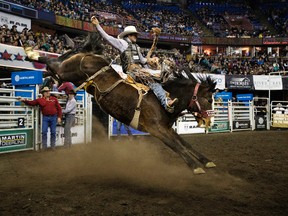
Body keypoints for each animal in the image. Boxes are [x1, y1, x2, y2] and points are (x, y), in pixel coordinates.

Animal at [25, 31, 216, 174]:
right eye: (208, 99)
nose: (209, 121)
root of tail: (90, 55)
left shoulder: (167, 129)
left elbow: (184, 143)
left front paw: (206, 161)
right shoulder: (156, 129)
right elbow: (177, 146)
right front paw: (196, 167)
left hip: (68, 74)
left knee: (54, 68)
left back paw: (44, 73)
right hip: (68, 70)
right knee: (52, 62)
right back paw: (30, 52)